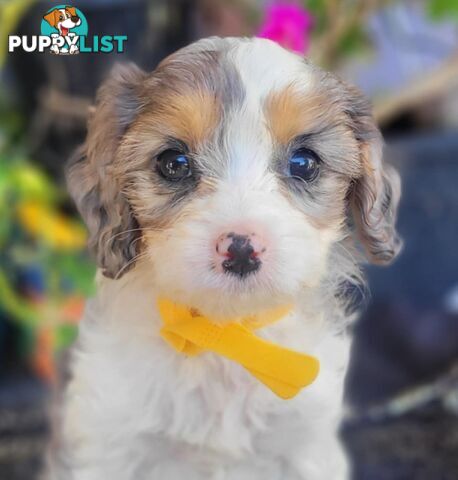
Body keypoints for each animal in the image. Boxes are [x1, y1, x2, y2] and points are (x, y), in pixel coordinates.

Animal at [44, 37, 398, 480]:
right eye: (173, 163)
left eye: (304, 162)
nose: (241, 248)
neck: (224, 333)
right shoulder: (107, 443)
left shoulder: (305, 446)